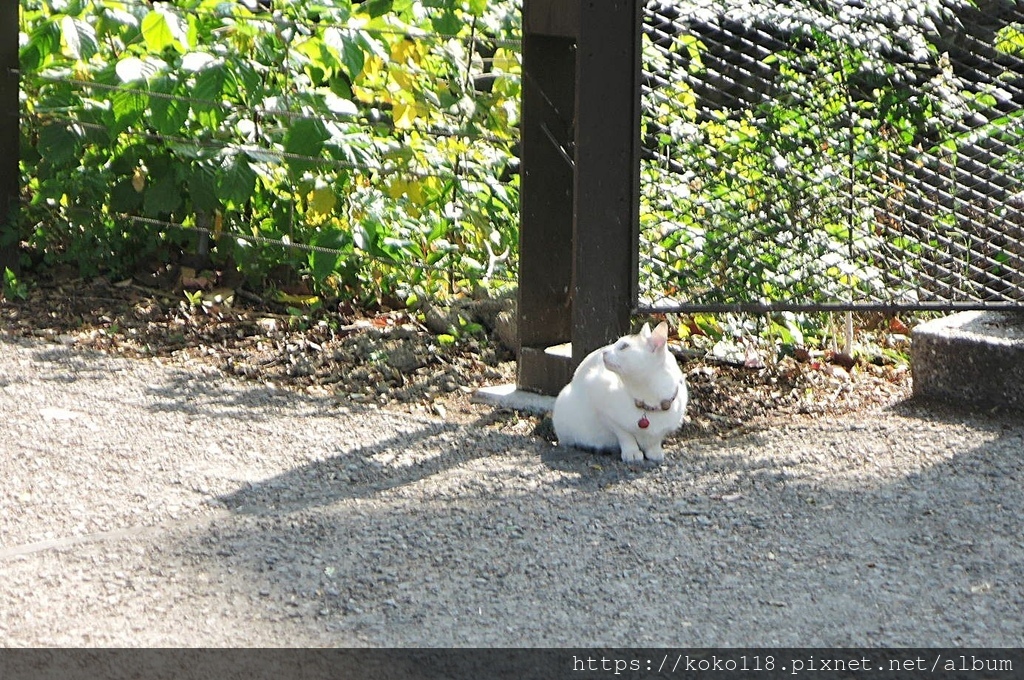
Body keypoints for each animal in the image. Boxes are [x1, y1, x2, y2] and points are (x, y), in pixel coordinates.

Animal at [552, 323, 688, 462]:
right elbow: (625, 435)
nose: (604, 352)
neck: (649, 399)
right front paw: (632, 452)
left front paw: (654, 451)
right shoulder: (605, 411)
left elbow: (655, 440)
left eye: (624, 346)